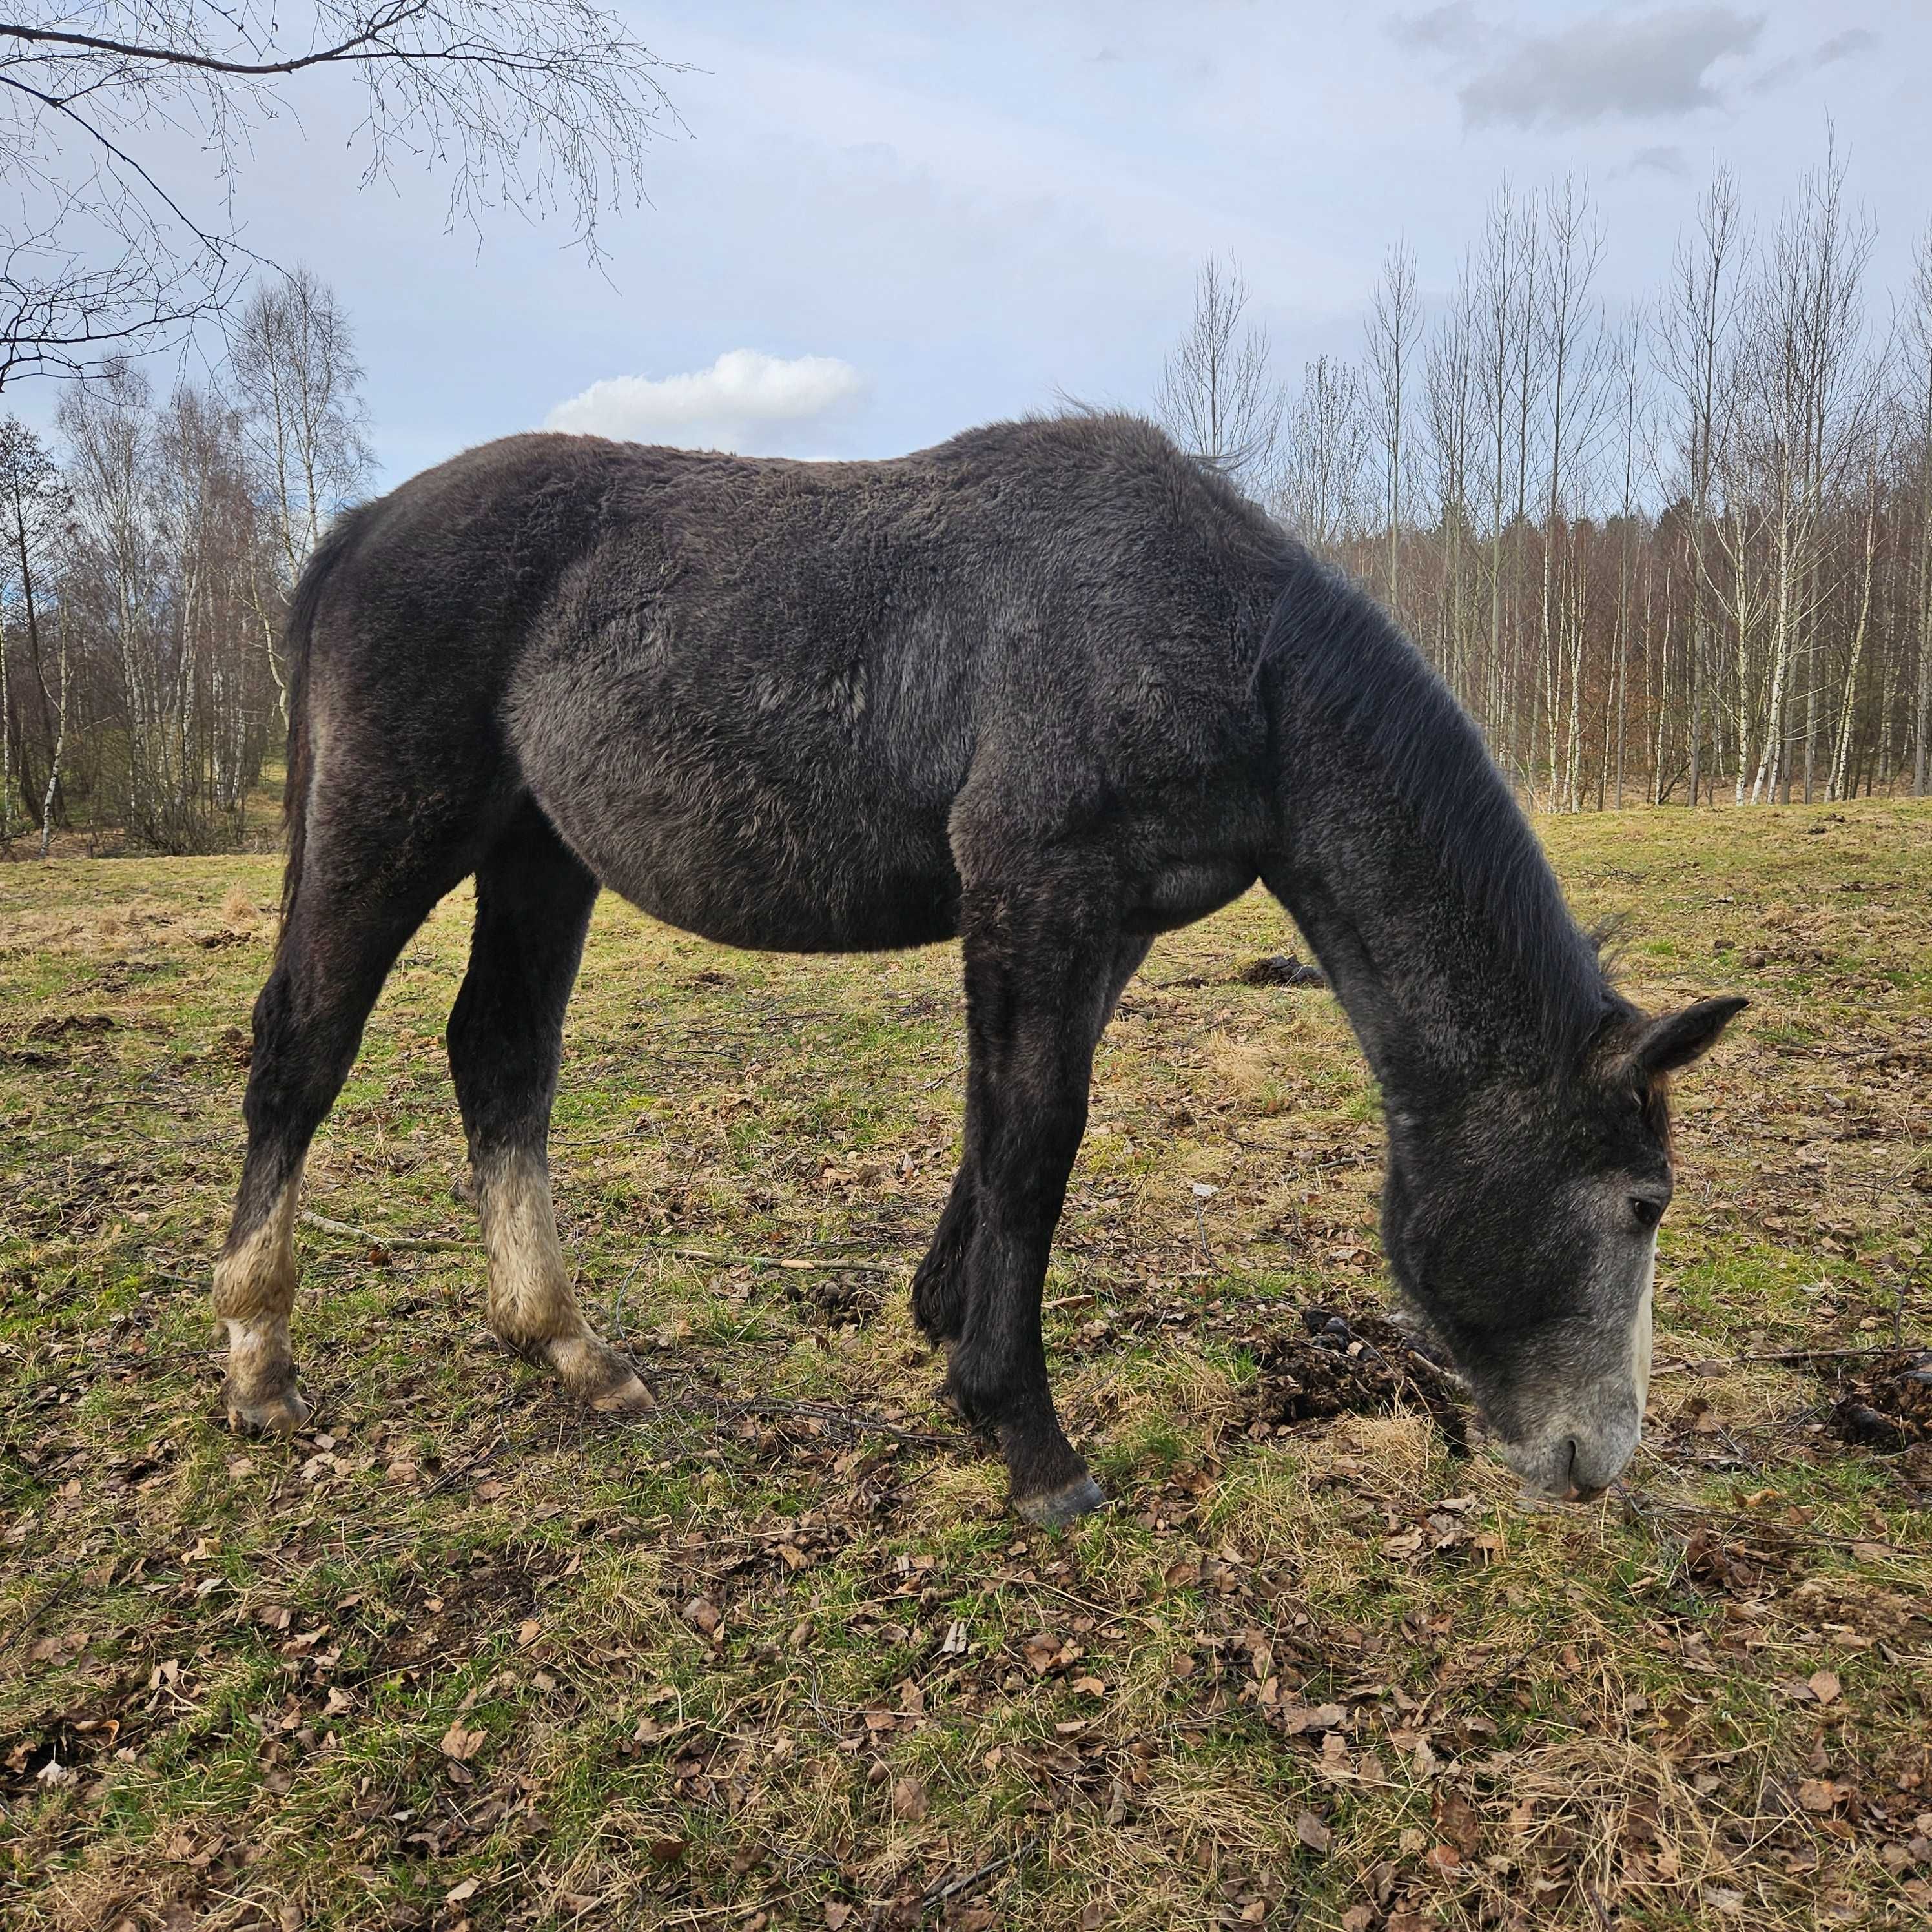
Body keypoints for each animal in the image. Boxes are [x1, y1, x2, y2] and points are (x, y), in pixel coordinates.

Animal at [215, 419, 1754, 1522]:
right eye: (1642, 1203)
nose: (1597, 1458)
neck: (1225, 647)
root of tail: (360, 527)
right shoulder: (1037, 891)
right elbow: (1033, 1144)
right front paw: (1025, 1433)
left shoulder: (1102, 921)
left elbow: (1000, 1124)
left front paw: (943, 1325)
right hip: (391, 829)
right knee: (303, 1049)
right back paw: (259, 1353)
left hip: (539, 853)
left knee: (501, 1056)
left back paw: (567, 1346)